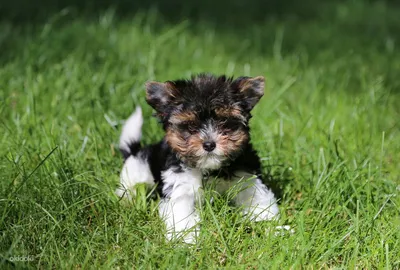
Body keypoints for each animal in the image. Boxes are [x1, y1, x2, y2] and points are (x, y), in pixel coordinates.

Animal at [115, 74, 278, 245]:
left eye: (224, 122)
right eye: (191, 126)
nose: (209, 144)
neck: (209, 169)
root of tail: (135, 151)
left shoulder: (246, 177)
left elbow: (257, 199)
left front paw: (270, 227)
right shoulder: (180, 185)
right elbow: (180, 213)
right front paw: (185, 241)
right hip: (136, 173)